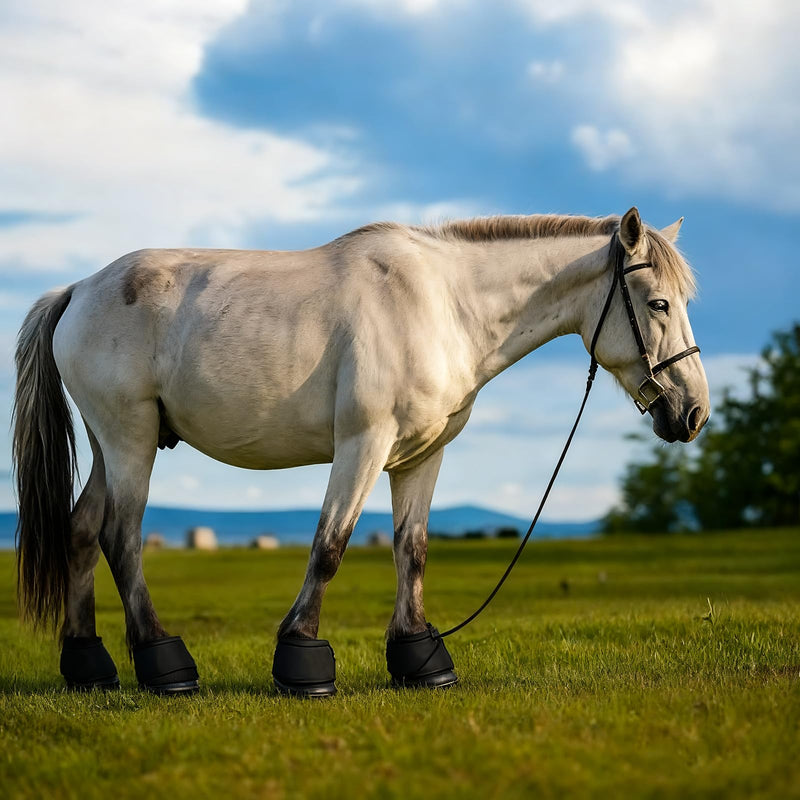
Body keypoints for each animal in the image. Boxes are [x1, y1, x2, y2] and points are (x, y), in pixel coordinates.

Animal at [12, 206, 709, 695]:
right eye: (658, 303)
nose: (694, 413)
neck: (445, 305)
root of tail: (79, 289)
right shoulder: (364, 444)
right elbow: (330, 546)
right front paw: (301, 660)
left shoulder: (422, 456)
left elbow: (411, 550)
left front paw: (418, 656)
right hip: (130, 441)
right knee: (121, 536)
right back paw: (164, 665)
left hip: (110, 444)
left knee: (81, 532)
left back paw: (89, 664)